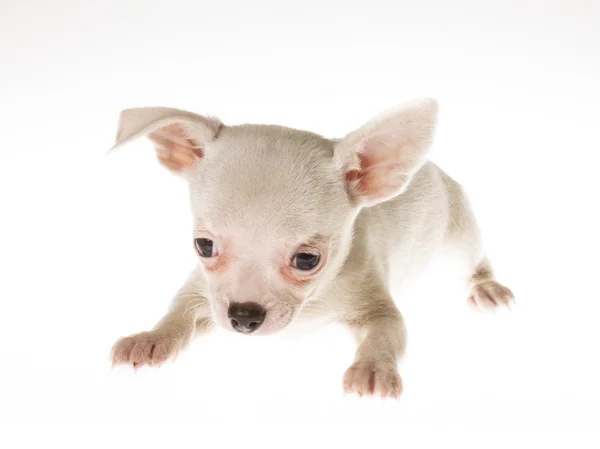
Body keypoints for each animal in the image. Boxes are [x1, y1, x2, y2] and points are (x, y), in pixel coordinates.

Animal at [108, 97, 510, 396]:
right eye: (204, 246)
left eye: (306, 260)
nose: (243, 317)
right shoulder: (203, 293)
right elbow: (179, 312)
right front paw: (151, 338)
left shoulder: (376, 306)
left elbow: (388, 333)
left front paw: (373, 367)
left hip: (458, 237)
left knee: (474, 258)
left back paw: (487, 286)